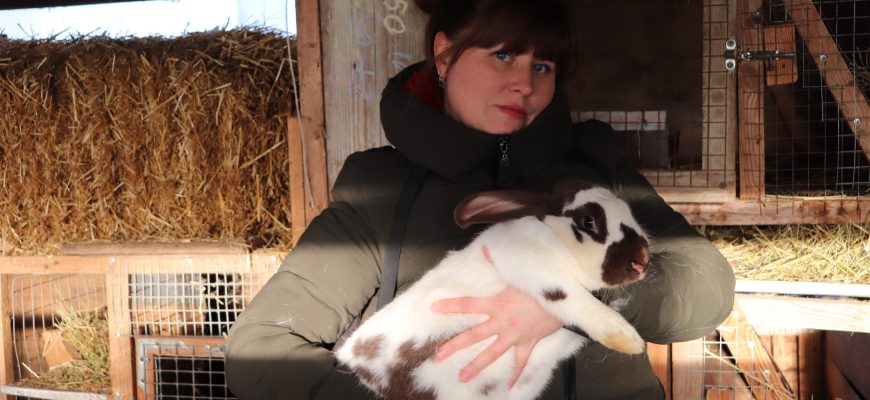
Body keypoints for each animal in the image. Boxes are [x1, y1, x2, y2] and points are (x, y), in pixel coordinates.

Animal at [334, 180, 652, 400]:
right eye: (589, 221)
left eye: (629, 211)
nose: (642, 262)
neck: (557, 243)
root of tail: (351, 359)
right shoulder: (532, 265)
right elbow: (573, 298)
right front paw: (628, 339)